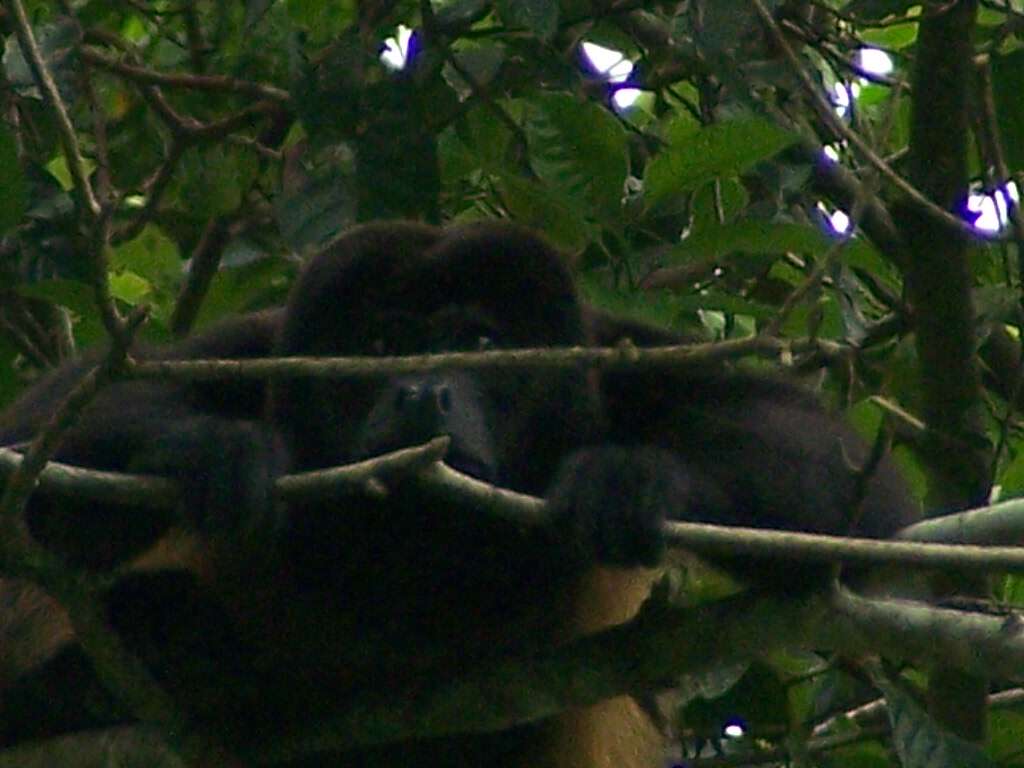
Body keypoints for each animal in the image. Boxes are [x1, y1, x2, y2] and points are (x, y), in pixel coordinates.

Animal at [0, 219, 917, 765]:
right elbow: (43, 439)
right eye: (380, 345)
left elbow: (858, 500)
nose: (419, 391)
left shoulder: (608, 355)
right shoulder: (263, 347)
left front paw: (636, 478)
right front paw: (216, 450)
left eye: (478, 342)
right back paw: (146, 644)